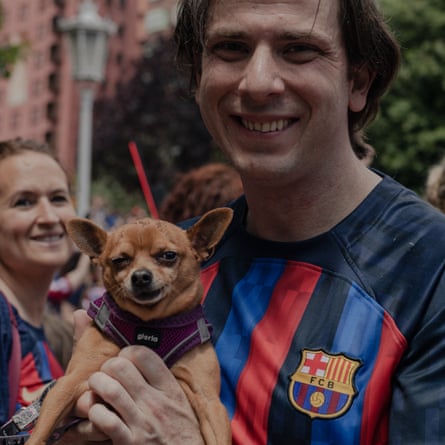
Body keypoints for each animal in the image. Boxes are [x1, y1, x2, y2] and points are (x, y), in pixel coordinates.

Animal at [27, 207, 232, 444]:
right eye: (119, 260)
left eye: (168, 255)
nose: (141, 276)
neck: (152, 325)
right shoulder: (70, 382)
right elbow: (40, 432)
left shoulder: (210, 402)